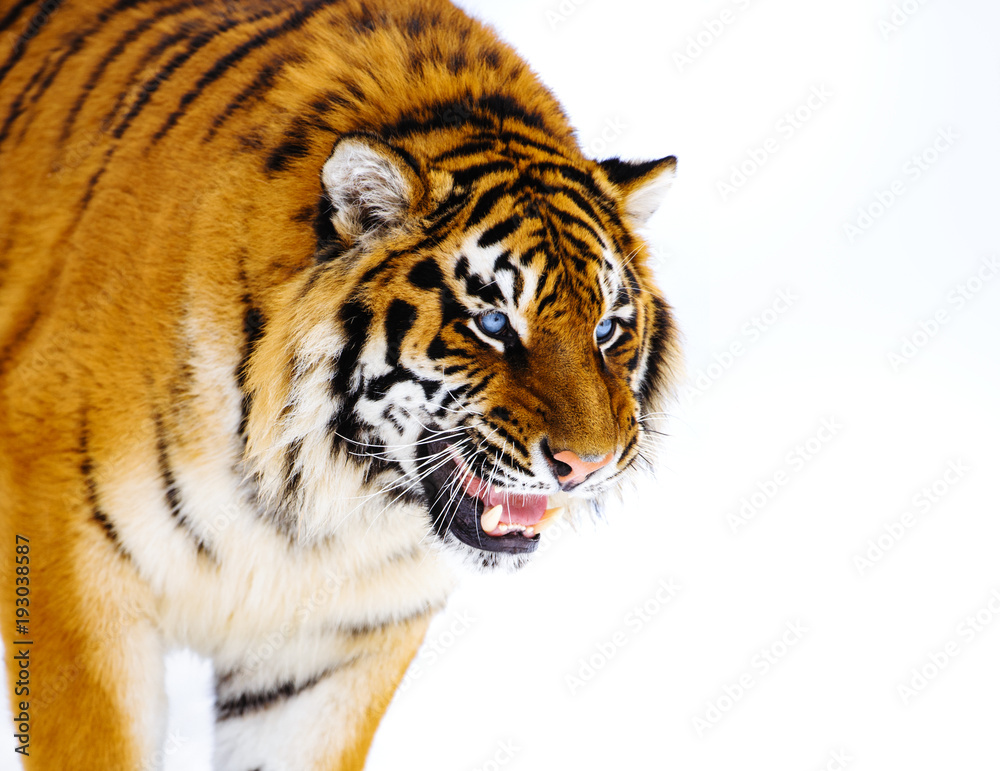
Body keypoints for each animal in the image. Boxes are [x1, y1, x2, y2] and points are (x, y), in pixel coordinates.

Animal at [0, 0, 679, 768]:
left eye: (607, 329)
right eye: (492, 321)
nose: (585, 464)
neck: (320, 500)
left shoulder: (335, 649)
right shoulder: (76, 579)